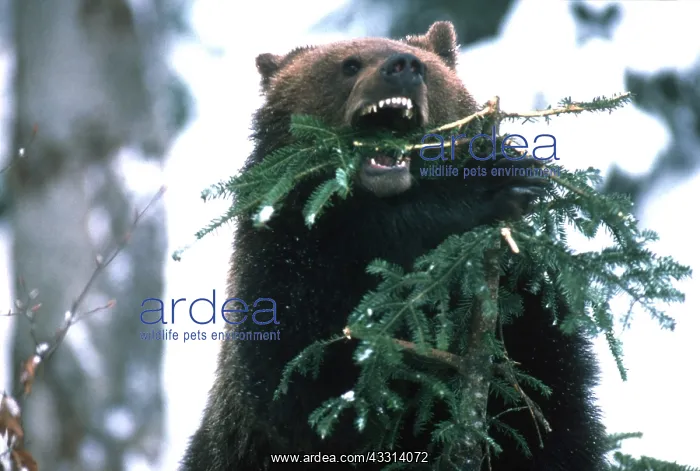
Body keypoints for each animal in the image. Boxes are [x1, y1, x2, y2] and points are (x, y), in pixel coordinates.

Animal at [180, 21, 608, 471]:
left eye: (426, 68)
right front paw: (488, 185)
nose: (403, 66)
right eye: (349, 65)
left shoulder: (524, 306)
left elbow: (549, 409)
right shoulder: (284, 263)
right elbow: (309, 382)